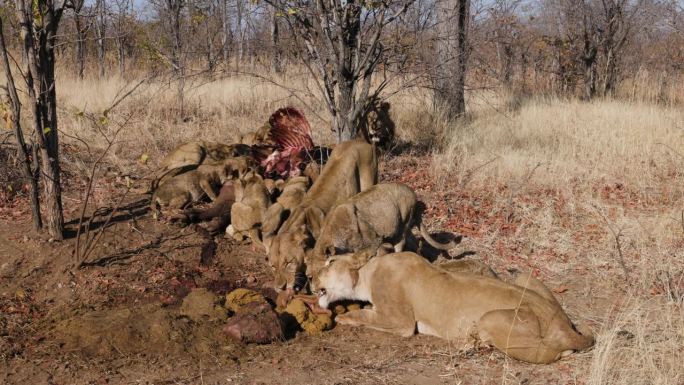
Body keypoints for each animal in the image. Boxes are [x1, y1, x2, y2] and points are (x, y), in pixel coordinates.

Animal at [308, 182, 460, 276]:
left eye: (322, 272)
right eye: (310, 276)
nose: (316, 290)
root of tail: (413, 193)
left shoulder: (373, 240)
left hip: (403, 222)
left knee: (400, 244)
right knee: (415, 243)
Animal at [316, 249, 592, 364]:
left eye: (330, 261)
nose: (311, 277)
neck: (368, 272)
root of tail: (562, 325)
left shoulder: (401, 322)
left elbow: (365, 314)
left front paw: (344, 318)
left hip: (490, 318)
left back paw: (467, 343)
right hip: (524, 276)